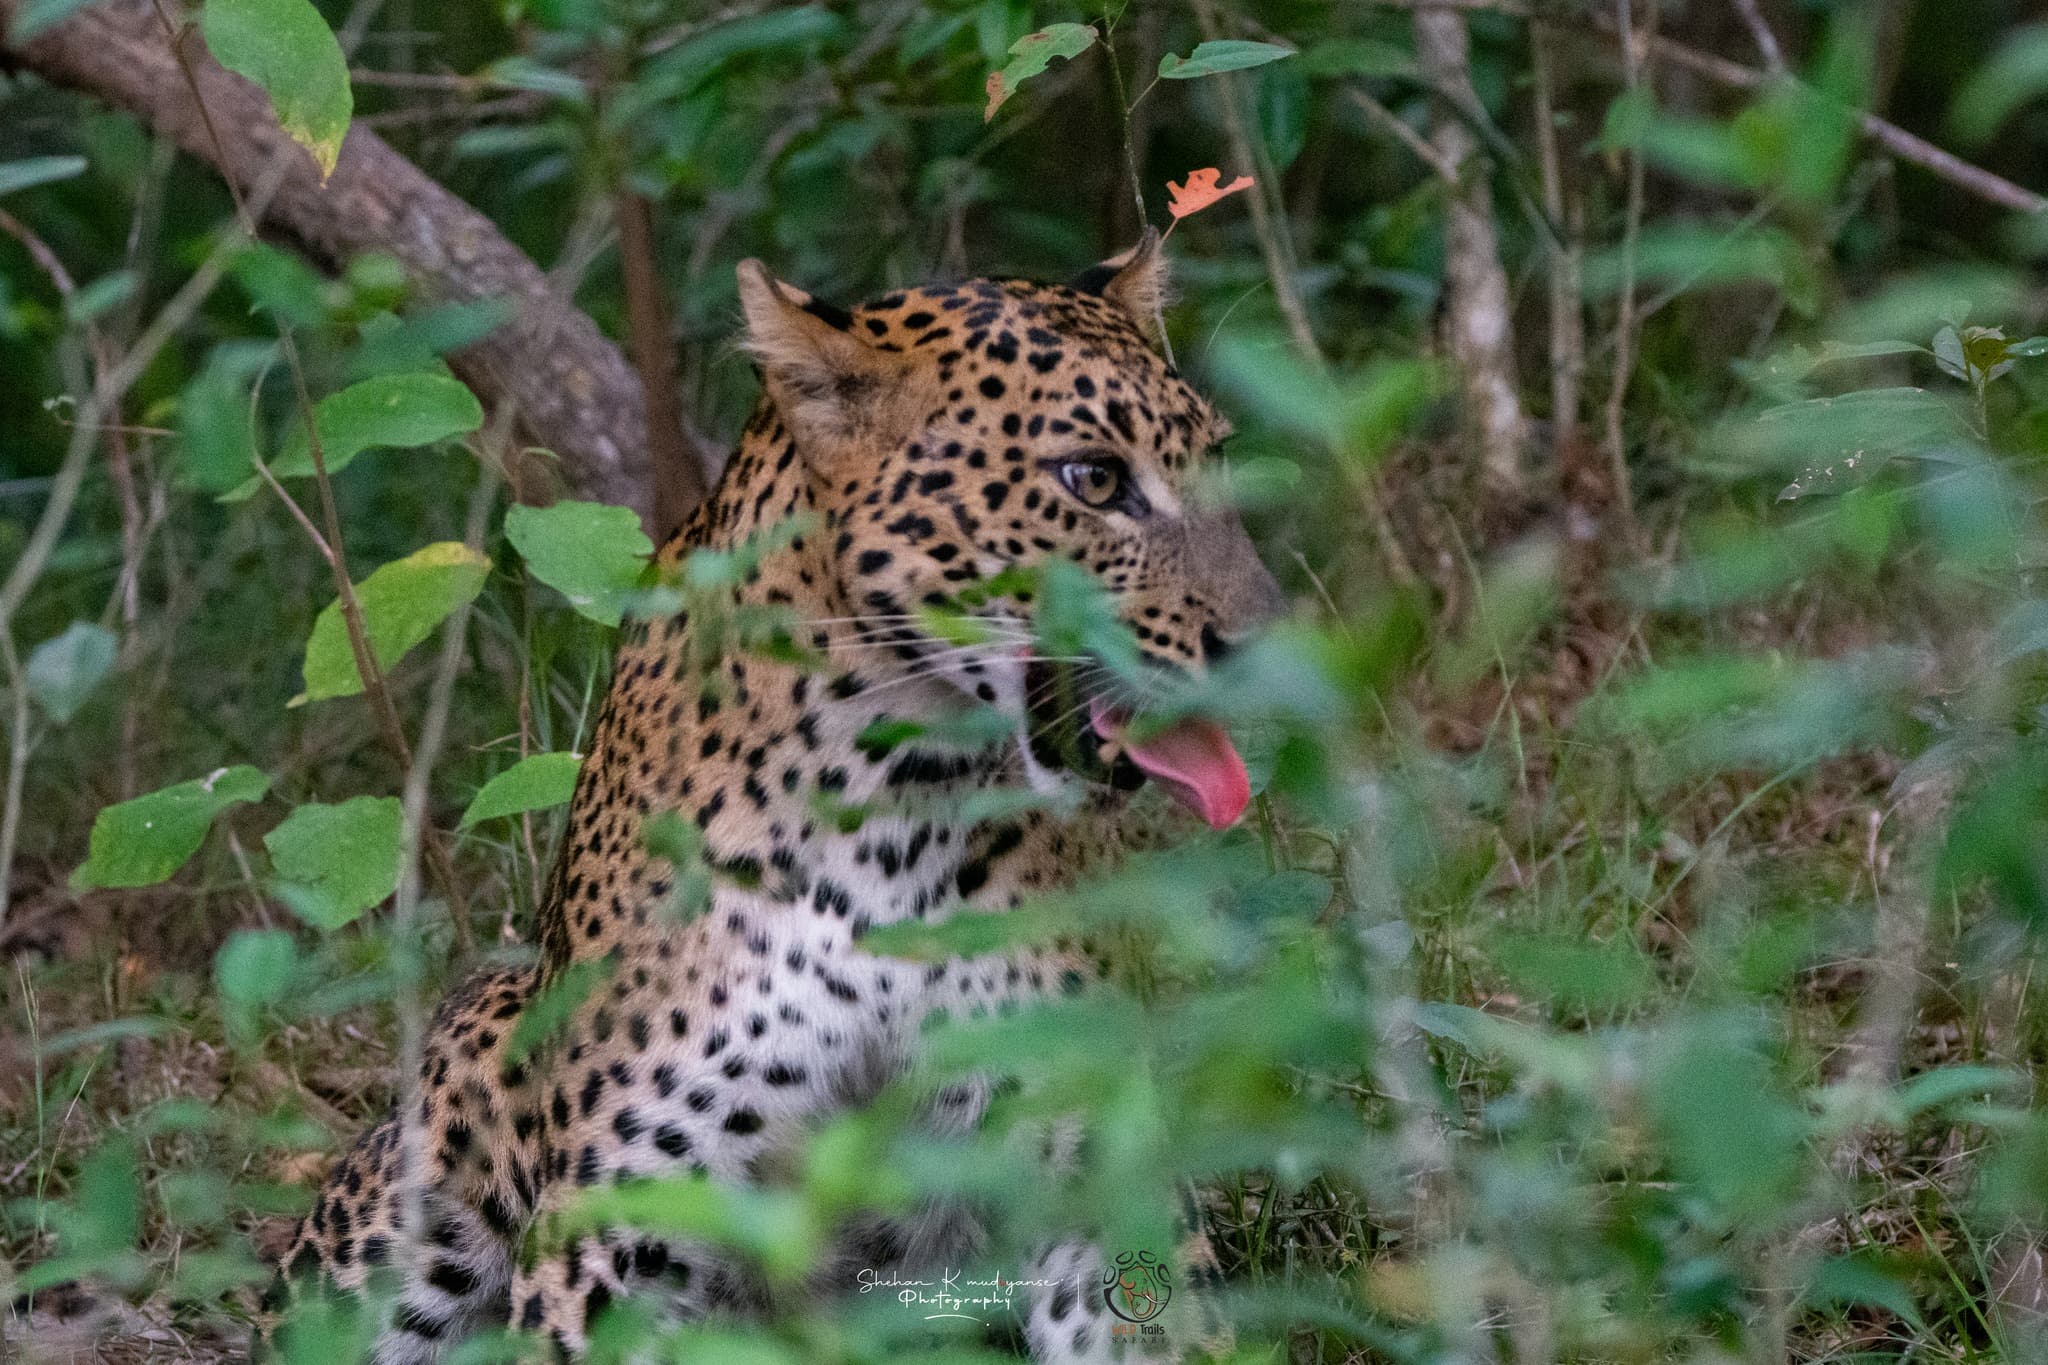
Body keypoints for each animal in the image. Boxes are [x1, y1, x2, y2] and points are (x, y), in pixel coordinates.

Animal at [268, 231, 1285, 1364]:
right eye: (1094, 478)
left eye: (1215, 462)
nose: (1264, 640)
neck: (895, 806)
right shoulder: (621, 1226)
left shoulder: (1089, 1167)